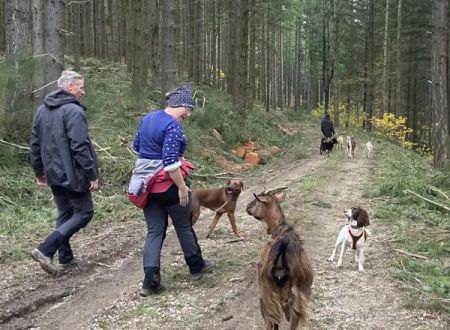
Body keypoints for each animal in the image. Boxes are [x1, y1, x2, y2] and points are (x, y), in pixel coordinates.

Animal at [246, 189, 312, 328]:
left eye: (257, 200)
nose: (247, 207)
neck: (281, 229)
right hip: (298, 300)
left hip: (267, 297)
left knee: (271, 322)